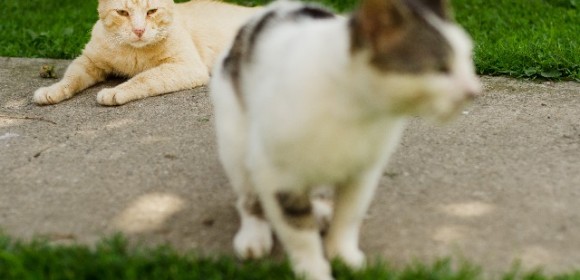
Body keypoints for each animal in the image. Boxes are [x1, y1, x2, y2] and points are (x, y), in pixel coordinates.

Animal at [33, 0, 256, 105]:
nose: (139, 30)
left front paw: (115, 91)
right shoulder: (89, 60)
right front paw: (52, 90)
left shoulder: (187, 66)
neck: (133, 51)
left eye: (152, 12)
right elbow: (70, 78)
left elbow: (144, 78)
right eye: (122, 13)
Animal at [211, 0, 478, 278]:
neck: (354, 109)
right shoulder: (276, 173)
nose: (474, 91)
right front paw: (313, 270)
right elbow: (297, 229)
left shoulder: (363, 171)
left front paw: (343, 256)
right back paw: (254, 235)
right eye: (441, 68)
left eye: (467, 59)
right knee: (248, 199)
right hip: (236, 146)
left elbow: (348, 215)